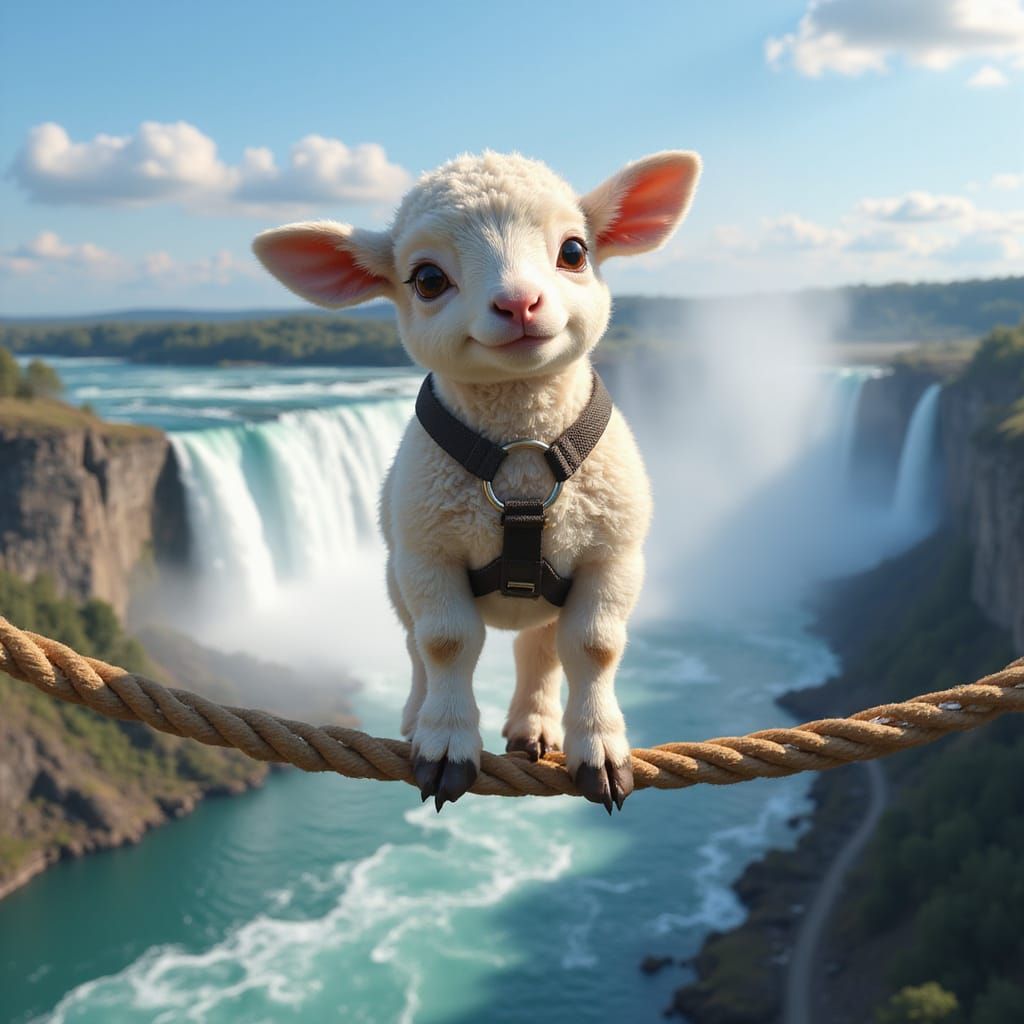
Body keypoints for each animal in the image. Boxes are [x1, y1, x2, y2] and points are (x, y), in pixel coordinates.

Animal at [253, 149, 701, 812]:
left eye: (574, 250)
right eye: (427, 279)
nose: (519, 303)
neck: (521, 451)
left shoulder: (612, 552)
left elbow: (595, 645)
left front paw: (599, 747)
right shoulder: (428, 553)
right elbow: (446, 643)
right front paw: (445, 745)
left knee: (540, 646)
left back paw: (534, 726)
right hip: (395, 578)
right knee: (417, 645)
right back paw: (419, 715)